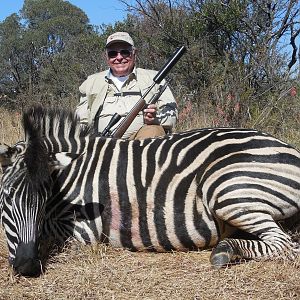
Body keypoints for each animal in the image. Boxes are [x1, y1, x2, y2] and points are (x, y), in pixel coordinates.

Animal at [0, 106, 298, 276]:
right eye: (6, 199)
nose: (27, 268)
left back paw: (224, 251)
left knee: (284, 244)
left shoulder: (85, 229)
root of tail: (289, 148)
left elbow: (47, 232)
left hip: (226, 189)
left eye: (42, 201)